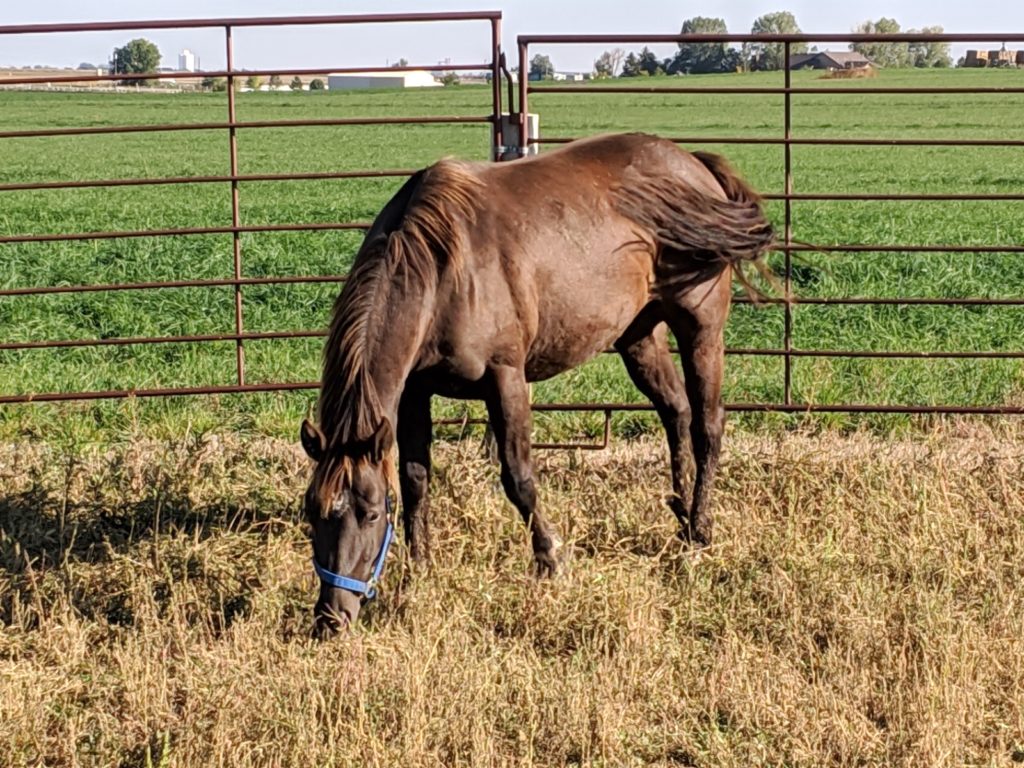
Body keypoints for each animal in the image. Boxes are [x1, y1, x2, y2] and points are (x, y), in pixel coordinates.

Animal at [299, 134, 770, 638]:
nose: (331, 617)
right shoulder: (413, 393)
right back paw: (680, 514)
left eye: (369, 513)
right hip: (638, 333)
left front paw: (550, 560)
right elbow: (415, 478)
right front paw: (420, 568)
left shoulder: (506, 378)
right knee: (675, 411)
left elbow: (518, 477)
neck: (444, 270)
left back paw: (700, 530)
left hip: (701, 327)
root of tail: (692, 163)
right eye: (312, 512)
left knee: (707, 424)